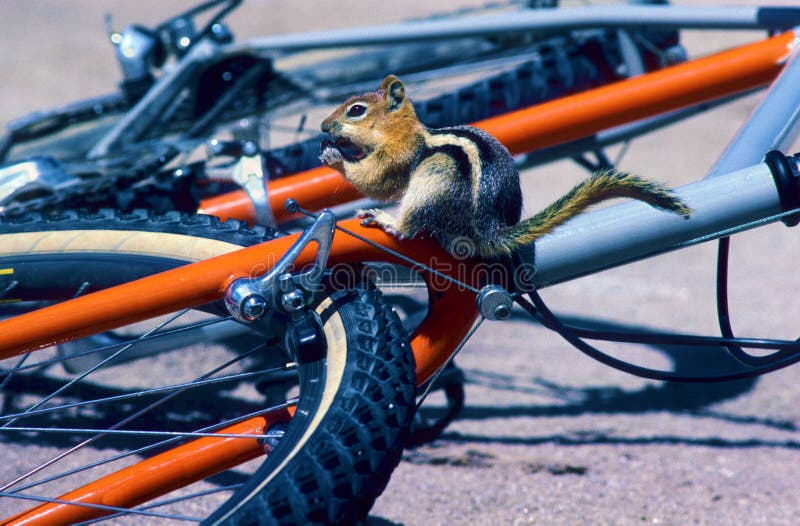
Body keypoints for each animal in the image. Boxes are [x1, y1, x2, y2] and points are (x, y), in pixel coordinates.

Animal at [318, 75, 688, 260]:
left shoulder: (399, 155)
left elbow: (377, 180)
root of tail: (489, 228)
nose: (323, 126)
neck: (406, 131)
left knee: (409, 227)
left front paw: (335, 157)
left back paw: (388, 220)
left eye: (356, 110)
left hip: (435, 177)